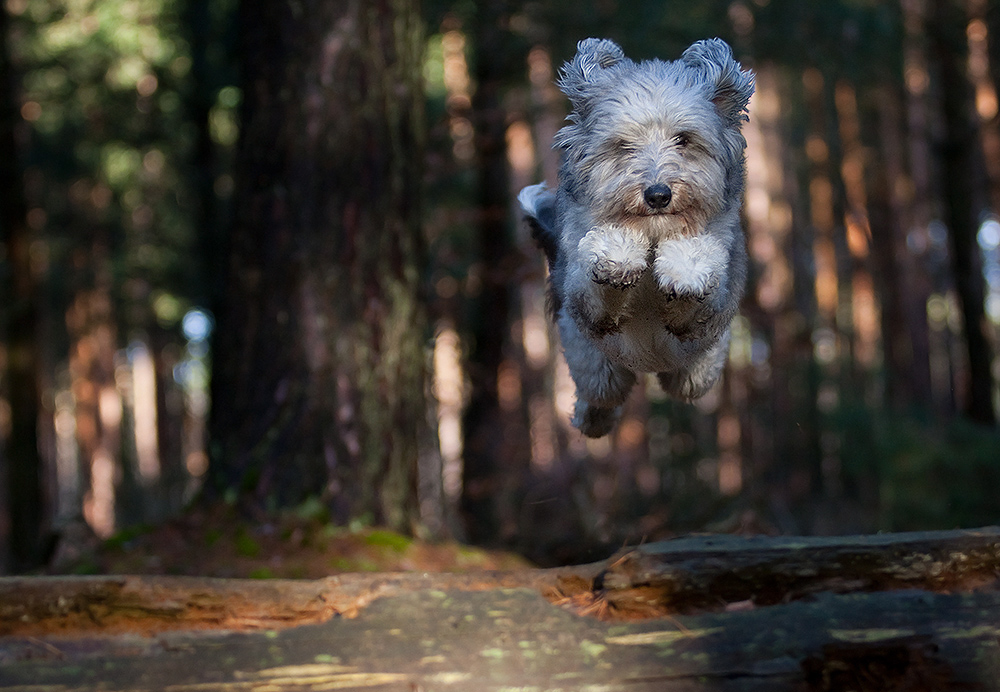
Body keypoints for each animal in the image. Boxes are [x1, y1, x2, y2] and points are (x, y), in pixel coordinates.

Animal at [520, 37, 752, 436]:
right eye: (624, 144)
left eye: (683, 139)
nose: (658, 194)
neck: (653, 237)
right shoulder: (588, 311)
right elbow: (597, 284)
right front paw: (618, 252)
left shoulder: (706, 314)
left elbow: (698, 278)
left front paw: (685, 267)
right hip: (597, 367)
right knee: (602, 393)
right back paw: (591, 420)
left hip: (695, 372)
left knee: (684, 382)